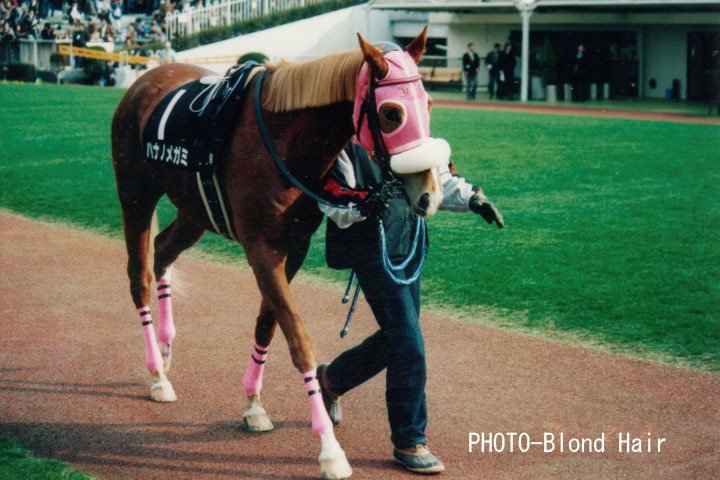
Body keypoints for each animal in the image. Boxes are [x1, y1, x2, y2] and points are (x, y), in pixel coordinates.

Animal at [111, 28, 446, 479]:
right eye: (392, 113)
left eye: (427, 104)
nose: (429, 194)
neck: (285, 140)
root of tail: (146, 78)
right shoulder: (261, 249)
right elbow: (299, 340)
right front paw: (330, 450)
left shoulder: (294, 246)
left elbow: (267, 325)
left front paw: (253, 405)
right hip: (135, 195)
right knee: (140, 277)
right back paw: (158, 376)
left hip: (194, 210)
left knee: (163, 250)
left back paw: (165, 353)